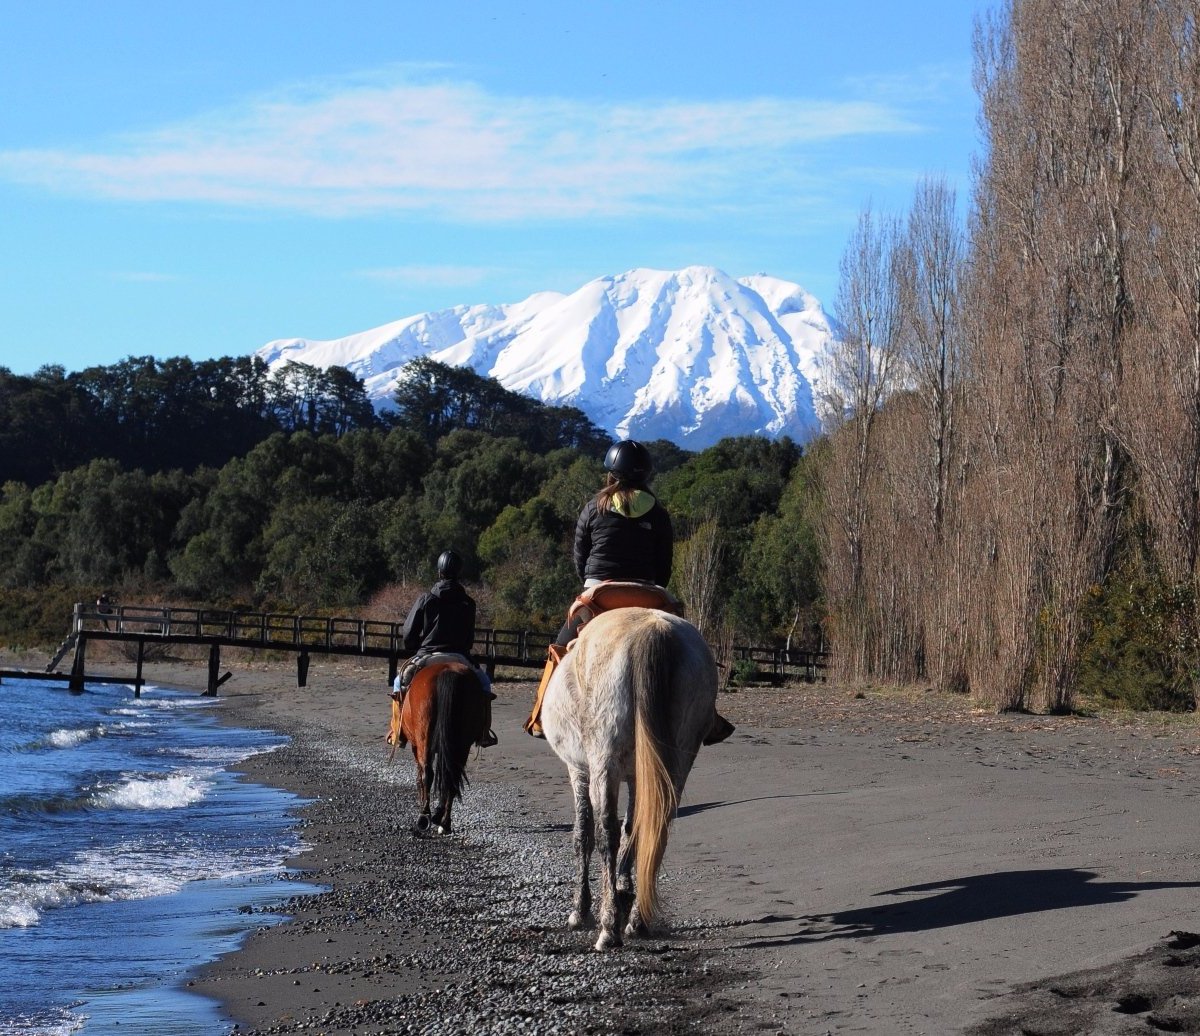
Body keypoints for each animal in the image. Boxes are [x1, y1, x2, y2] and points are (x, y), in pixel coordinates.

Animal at [388, 662, 492, 835]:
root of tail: (449, 671)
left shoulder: (417, 747)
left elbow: (420, 777)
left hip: (424, 739)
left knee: (428, 773)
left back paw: (424, 817)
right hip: (461, 745)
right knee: (452, 777)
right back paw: (444, 822)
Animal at [542, 607, 715, 955]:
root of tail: (653, 629)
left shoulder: (579, 771)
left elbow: (584, 835)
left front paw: (580, 911)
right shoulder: (638, 777)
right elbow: (632, 831)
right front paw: (624, 891)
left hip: (603, 765)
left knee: (605, 833)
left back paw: (609, 928)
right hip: (675, 765)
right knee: (656, 827)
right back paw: (636, 920)